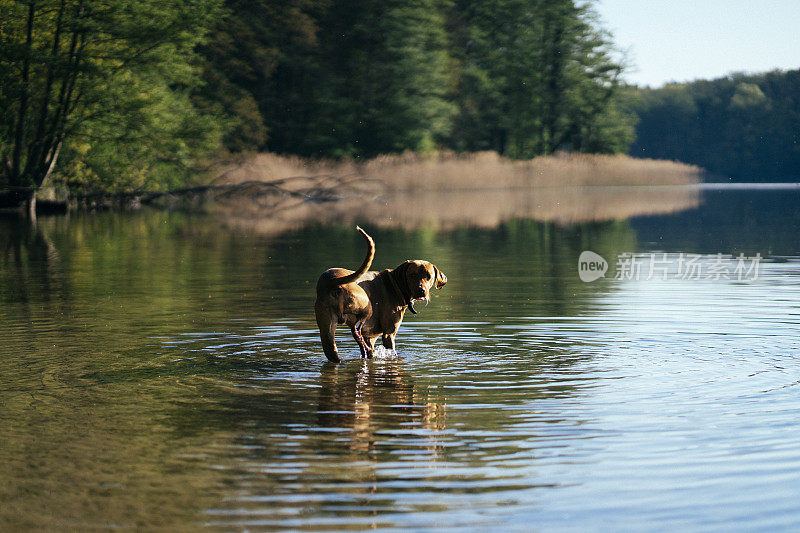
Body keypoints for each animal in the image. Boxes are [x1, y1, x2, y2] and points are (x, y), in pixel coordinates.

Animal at [316, 224, 446, 362]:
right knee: (356, 329)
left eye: (429, 276)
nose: (422, 291)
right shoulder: (389, 333)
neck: (396, 284)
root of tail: (332, 280)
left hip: (326, 330)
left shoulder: (370, 337)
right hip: (367, 307)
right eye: (412, 275)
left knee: (336, 348)